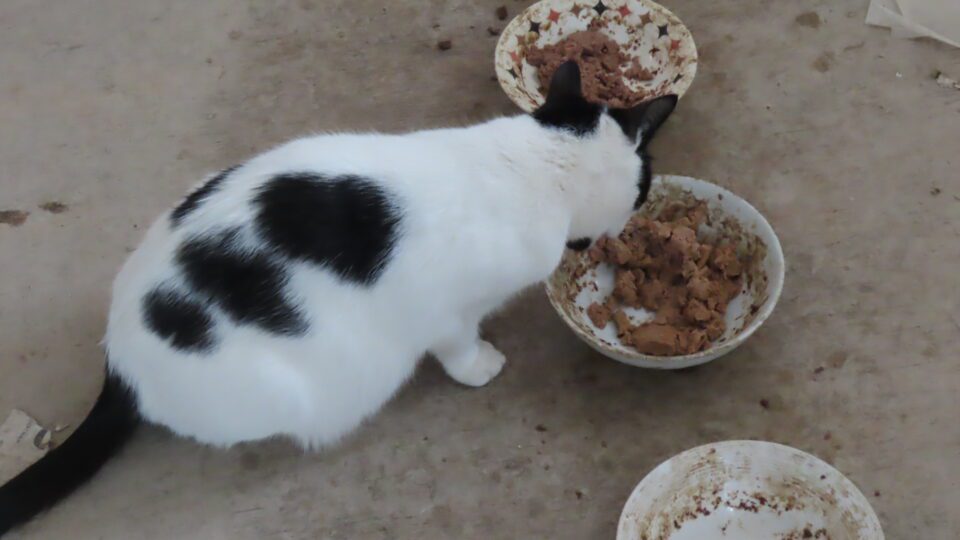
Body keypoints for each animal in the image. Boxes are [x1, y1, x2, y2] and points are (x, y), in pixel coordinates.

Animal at [0, 61, 676, 535]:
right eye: (644, 183)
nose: (635, 211)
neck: (535, 163)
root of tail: (118, 361)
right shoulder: (442, 309)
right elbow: (457, 342)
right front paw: (480, 365)